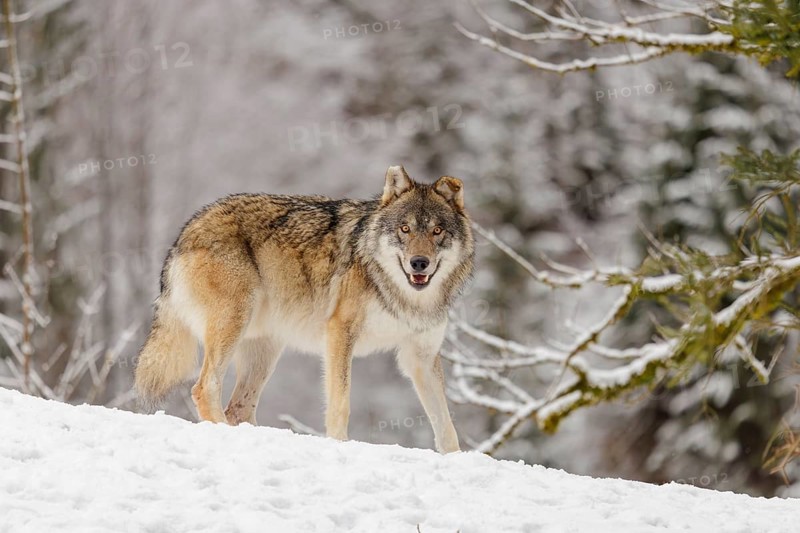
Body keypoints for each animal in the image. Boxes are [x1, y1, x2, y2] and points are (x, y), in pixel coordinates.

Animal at [134, 165, 474, 453]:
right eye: (405, 229)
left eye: (437, 231)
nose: (419, 263)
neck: (406, 297)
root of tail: (186, 230)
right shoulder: (340, 333)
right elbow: (340, 402)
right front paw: (339, 445)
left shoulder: (421, 357)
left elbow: (446, 425)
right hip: (233, 325)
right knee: (204, 388)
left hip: (265, 349)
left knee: (238, 407)